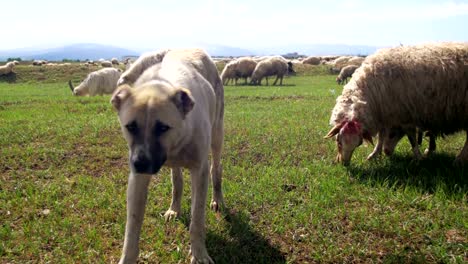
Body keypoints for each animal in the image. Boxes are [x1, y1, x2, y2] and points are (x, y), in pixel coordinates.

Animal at [111, 49, 225, 264]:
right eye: (130, 127)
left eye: (163, 127)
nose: (140, 164)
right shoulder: (137, 180)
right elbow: (132, 227)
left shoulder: (199, 171)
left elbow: (197, 220)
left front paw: (199, 254)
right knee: (177, 181)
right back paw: (174, 208)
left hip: (217, 136)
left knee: (216, 169)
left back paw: (218, 199)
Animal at [324, 41, 468, 165]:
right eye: (338, 141)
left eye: (359, 143)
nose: (344, 163)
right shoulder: (387, 114)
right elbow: (381, 136)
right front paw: (374, 154)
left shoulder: (405, 114)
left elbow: (412, 138)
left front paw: (418, 157)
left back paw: (459, 160)